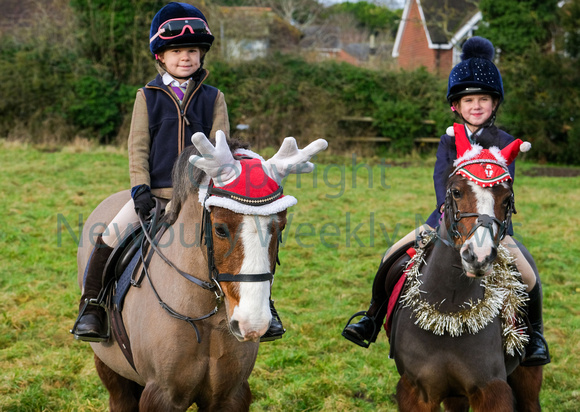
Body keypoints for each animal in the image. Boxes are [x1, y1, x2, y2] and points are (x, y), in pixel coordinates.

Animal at [77, 133, 328, 412]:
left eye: (280, 226)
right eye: (219, 229)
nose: (252, 324)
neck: (207, 318)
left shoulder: (232, 396)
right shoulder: (161, 395)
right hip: (108, 366)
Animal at [390, 138, 544, 408]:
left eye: (507, 199)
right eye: (456, 191)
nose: (478, 256)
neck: (450, 307)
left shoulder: (492, 390)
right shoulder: (414, 391)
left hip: (528, 375)